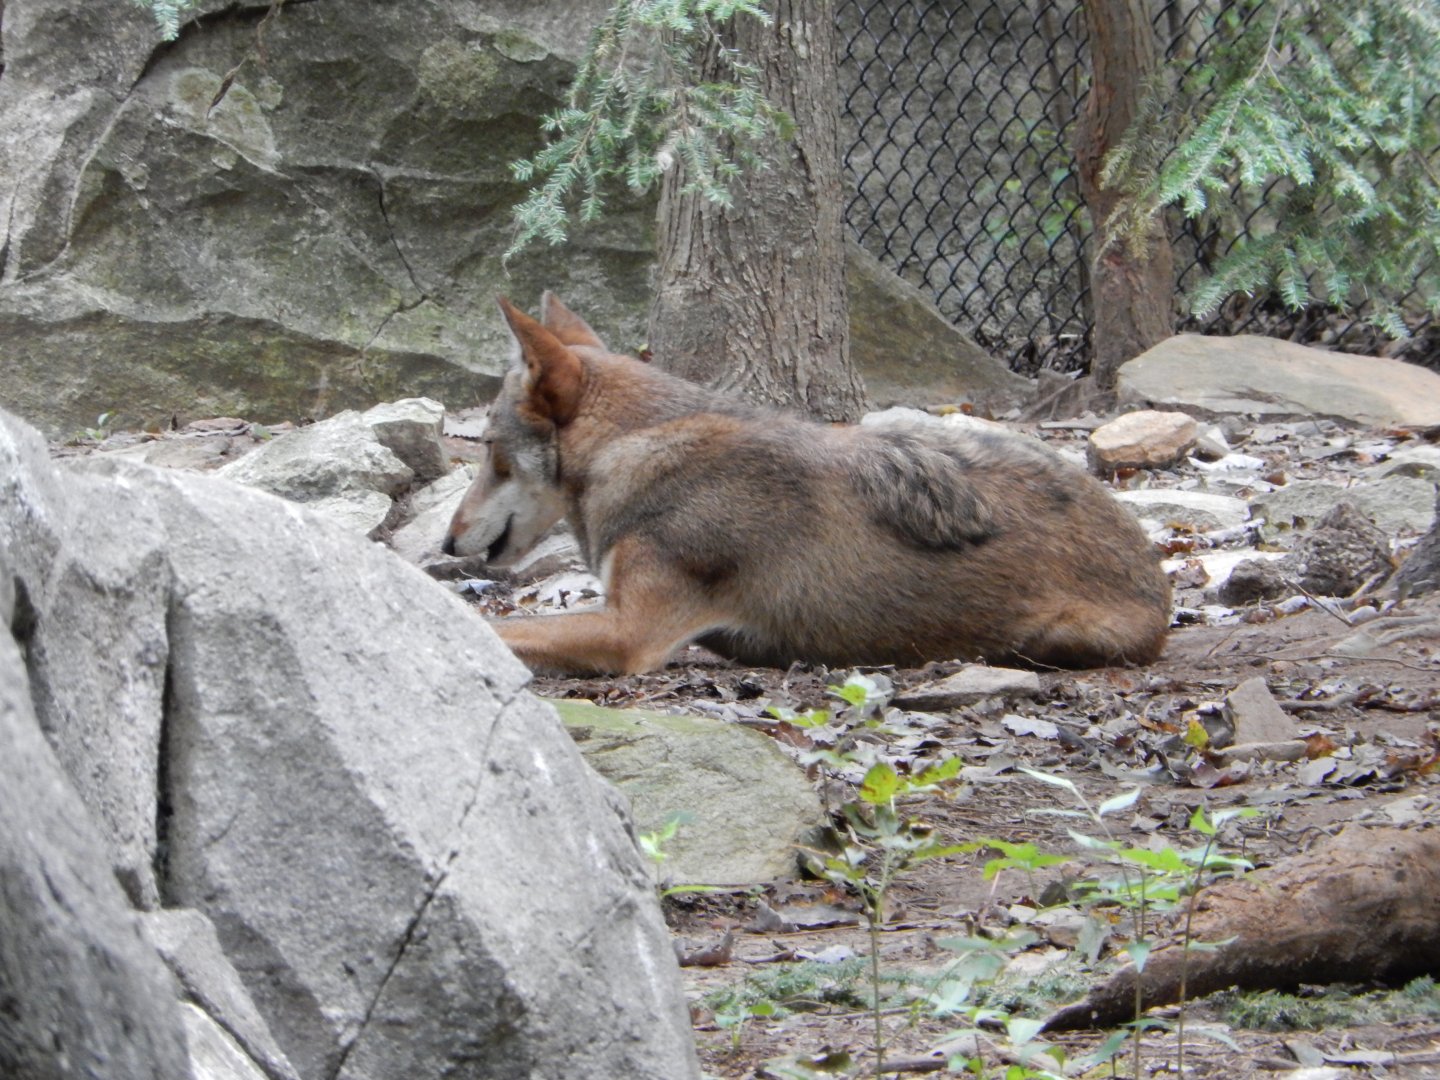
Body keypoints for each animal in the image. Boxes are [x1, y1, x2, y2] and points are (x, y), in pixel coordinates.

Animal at [442, 293, 1171, 675]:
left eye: (489, 452)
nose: (447, 544)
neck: (634, 449)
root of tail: (1156, 576)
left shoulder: (628, 632)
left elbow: (494, 624)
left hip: (1050, 638)